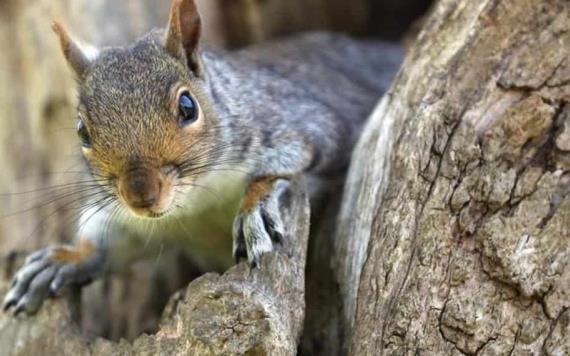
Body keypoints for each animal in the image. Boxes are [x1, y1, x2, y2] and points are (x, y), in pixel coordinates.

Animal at [1, 0, 400, 314]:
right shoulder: (132, 219)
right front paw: (64, 259)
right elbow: (112, 240)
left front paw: (254, 207)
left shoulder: (304, 125)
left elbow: (286, 165)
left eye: (187, 107)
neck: (196, 203)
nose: (141, 195)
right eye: (82, 131)